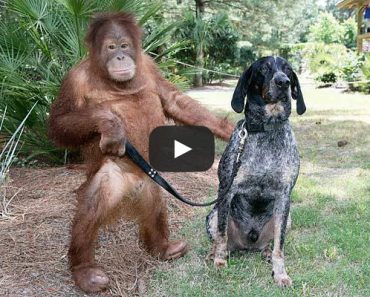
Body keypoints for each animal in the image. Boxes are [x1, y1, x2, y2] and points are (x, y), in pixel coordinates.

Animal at [205, 56, 306, 286]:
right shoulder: (226, 191)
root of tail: (248, 243)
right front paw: (220, 261)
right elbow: (222, 235)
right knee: (221, 238)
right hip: (212, 214)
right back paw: (215, 253)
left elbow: (280, 245)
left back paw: (266, 252)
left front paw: (280, 273)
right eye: (264, 69)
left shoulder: (284, 196)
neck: (267, 128)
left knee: (271, 243)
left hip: (288, 218)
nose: (283, 82)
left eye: (288, 69)